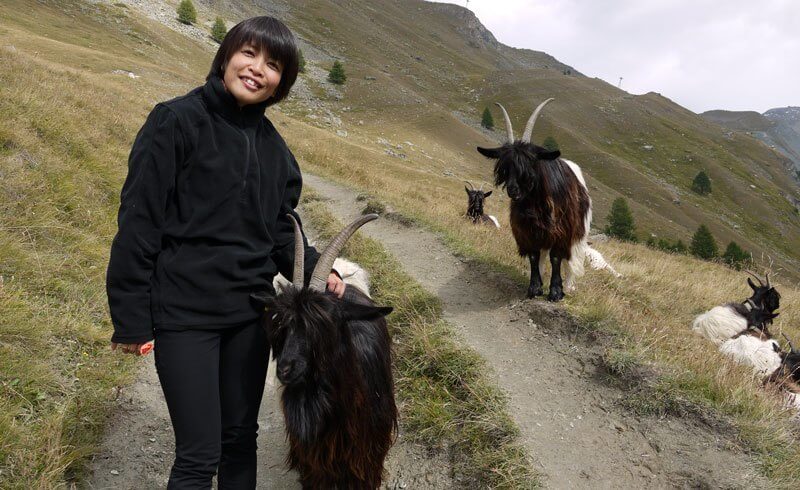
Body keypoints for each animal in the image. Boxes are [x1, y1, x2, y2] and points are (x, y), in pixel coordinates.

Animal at [476, 97, 592, 300]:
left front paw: (556, 291)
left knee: (572, 258)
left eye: (530, 163)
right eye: (505, 167)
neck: (535, 203)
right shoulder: (527, 231)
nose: (513, 190)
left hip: (579, 231)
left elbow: (556, 257)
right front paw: (535, 287)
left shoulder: (561, 230)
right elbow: (534, 256)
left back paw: (570, 285)